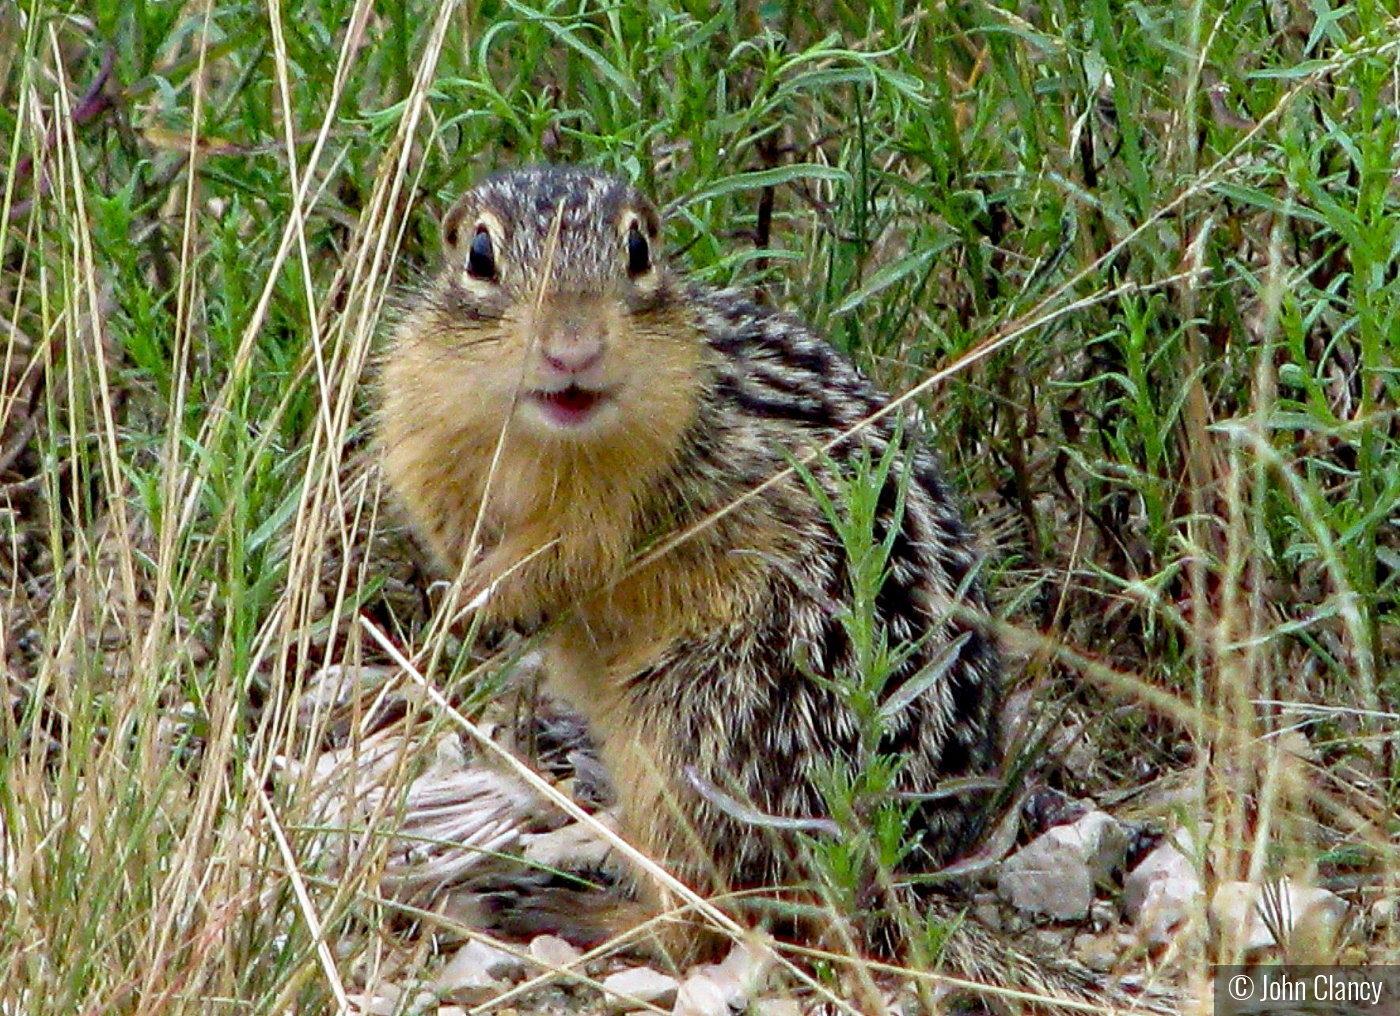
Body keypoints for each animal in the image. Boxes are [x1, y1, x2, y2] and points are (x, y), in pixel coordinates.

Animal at [378, 167, 1002, 962]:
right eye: (480, 255)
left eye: (639, 249)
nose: (573, 350)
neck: (537, 438)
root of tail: (913, 865)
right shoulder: (423, 440)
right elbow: (454, 530)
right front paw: (462, 601)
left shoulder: (624, 506)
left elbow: (569, 556)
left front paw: (483, 602)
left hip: (692, 734)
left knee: (703, 921)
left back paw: (563, 908)